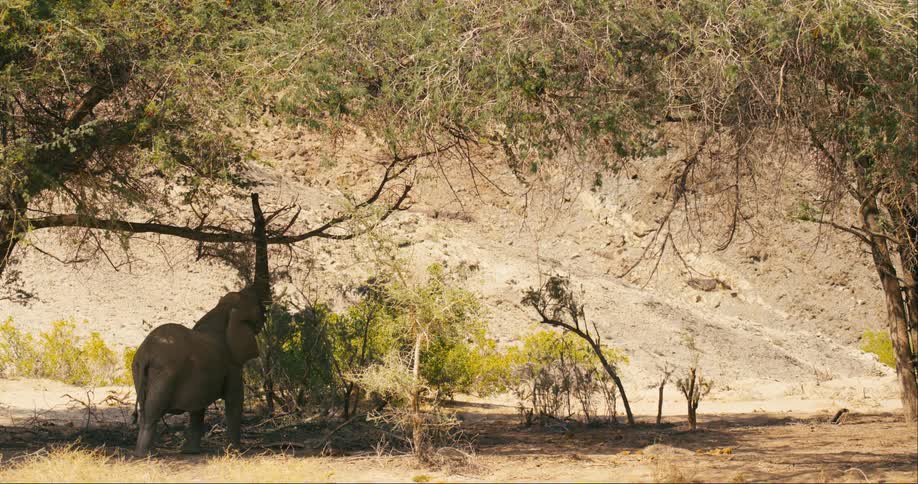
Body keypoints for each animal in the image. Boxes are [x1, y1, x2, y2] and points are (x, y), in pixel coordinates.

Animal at [132, 286, 263, 456]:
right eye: (257, 311)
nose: (265, 313)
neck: (223, 310)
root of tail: (147, 353)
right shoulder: (232, 364)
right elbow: (234, 400)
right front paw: (236, 452)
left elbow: (198, 406)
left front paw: (191, 452)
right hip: (164, 375)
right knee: (152, 412)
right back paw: (146, 455)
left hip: (138, 371)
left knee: (145, 411)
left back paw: (147, 453)